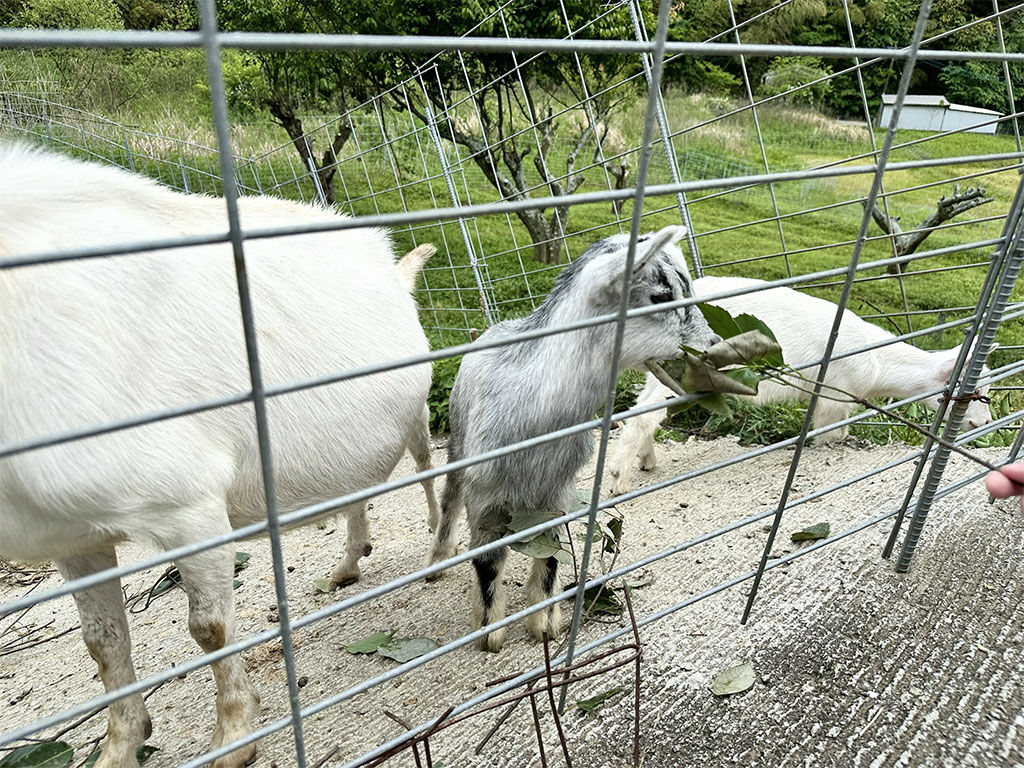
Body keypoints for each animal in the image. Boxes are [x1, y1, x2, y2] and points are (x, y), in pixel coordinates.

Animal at [0, 145, 436, 768]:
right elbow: (101, 643)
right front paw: (119, 746)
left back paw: (440, 544)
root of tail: (395, 270)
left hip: (418, 406)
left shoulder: (187, 503)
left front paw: (233, 740)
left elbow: (208, 628)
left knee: (426, 467)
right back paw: (347, 566)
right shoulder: (73, 536)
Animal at [606, 274, 991, 495]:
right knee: (645, 414)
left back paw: (646, 461)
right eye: (973, 394)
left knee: (640, 406)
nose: (985, 423)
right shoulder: (836, 394)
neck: (879, 361)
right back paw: (619, 481)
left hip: (663, 367)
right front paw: (833, 446)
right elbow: (830, 432)